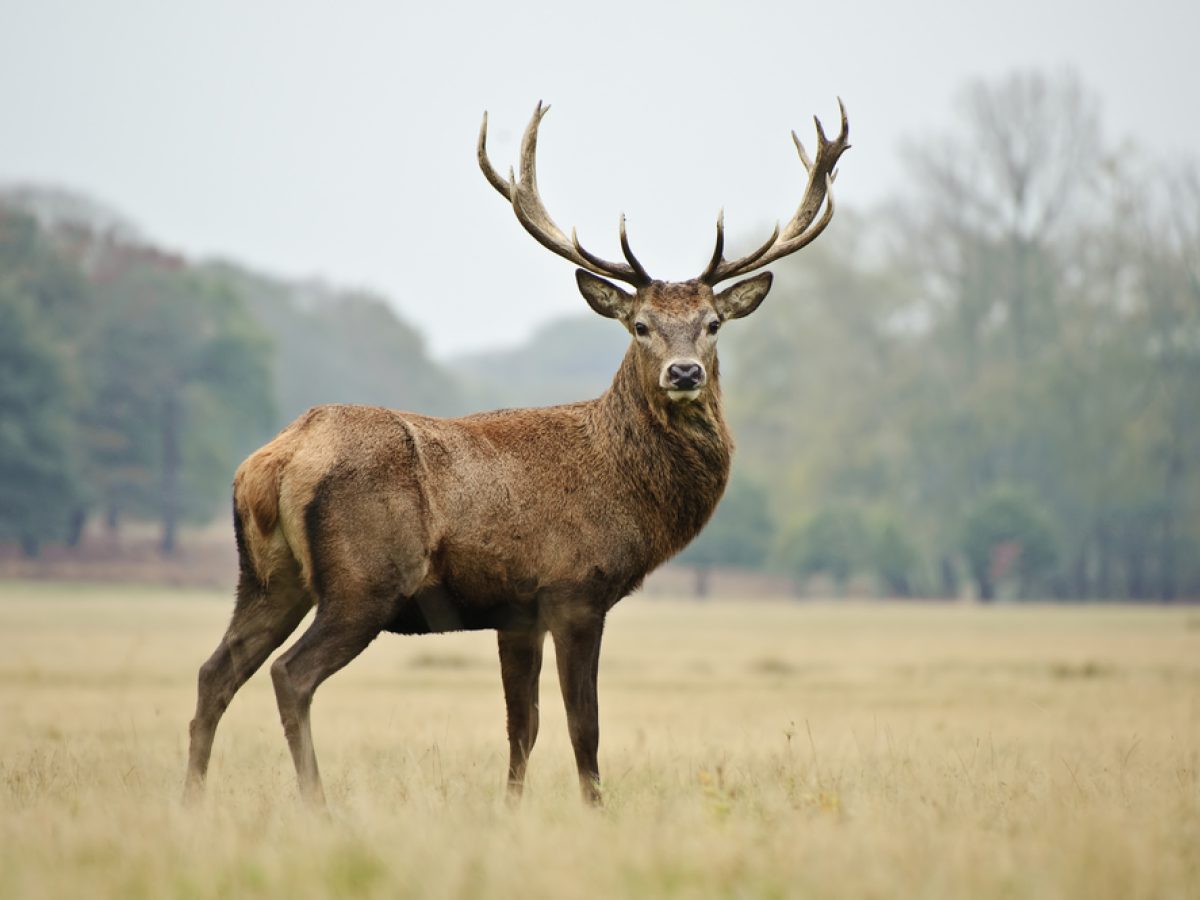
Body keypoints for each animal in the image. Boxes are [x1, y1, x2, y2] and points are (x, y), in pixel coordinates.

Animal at [182, 98, 849, 811]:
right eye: (639, 325)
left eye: (713, 324)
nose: (685, 372)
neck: (625, 488)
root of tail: (274, 461)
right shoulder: (575, 589)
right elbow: (584, 725)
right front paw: (595, 810)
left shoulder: (516, 612)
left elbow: (521, 726)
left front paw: (510, 809)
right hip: (364, 580)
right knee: (290, 674)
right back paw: (317, 805)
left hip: (268, 576)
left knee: (215, 671)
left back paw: (192, 799)